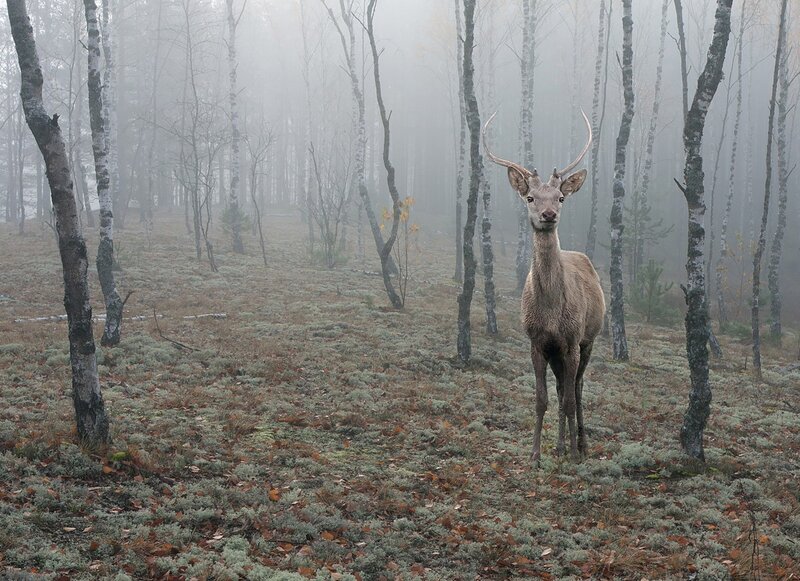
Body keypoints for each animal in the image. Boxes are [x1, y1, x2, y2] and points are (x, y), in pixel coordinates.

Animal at [483, 111, 605, 467]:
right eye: (530, 197)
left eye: (561, 198)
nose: (548, 214)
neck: (551, 311)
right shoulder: (538, 342)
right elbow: (542, 399)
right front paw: (536, 454)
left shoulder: (572, 341)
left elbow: (569, 398)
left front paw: (571, 452)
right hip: (557, 352)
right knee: (563, 387)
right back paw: (561, 445)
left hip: (589, 340)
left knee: (576, 388)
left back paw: (580, 445)